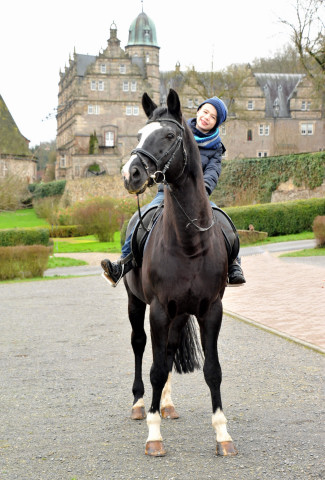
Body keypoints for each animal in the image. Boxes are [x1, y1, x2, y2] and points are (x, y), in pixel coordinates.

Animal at [119, 90, 235, 458]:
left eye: (169, 136)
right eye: (139, 135)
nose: (131, 173)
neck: (189, 243)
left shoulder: (211, 310)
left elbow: (213, 371)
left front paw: (222, 434)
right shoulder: (157, 309)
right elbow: (155, 369)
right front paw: (153, 435)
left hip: (180, 314)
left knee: (168, 351)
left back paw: (167, 404)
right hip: (136, 303)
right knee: (140, 346)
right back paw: (141, 405)